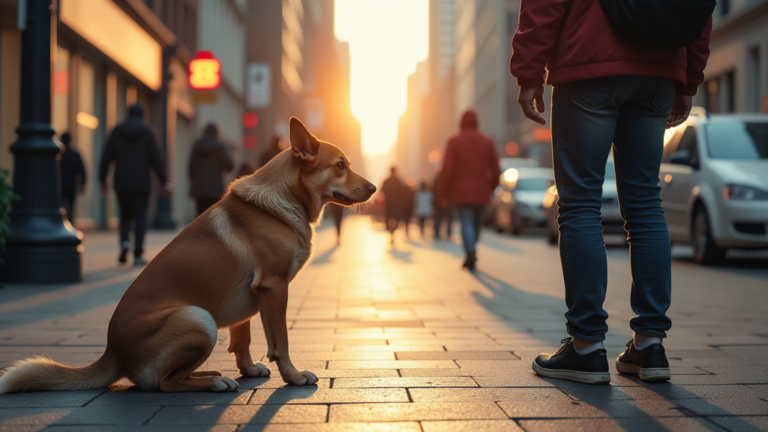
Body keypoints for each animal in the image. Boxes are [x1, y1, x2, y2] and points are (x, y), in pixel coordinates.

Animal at [0, 116, 378, 394]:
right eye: (340, 165)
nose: (375, 188)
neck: (281, 202)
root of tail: (112, 352)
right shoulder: (273, 288)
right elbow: (280, 342)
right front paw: (294, 376)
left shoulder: (251, 296)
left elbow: (243, 339)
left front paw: (249, 370)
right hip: (199, 318)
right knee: (164, 383)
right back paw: (213, 381)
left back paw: (214, 375)